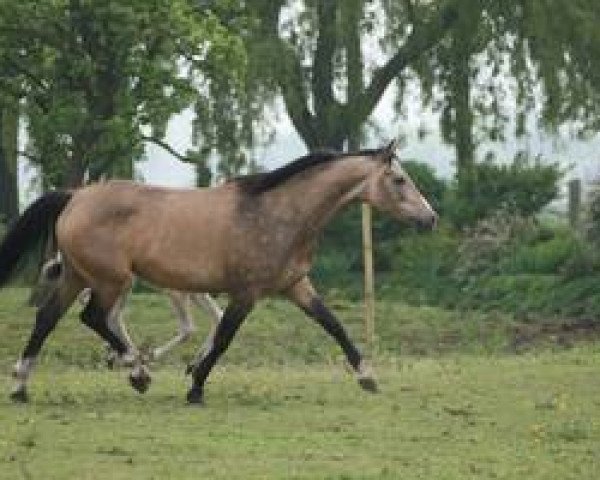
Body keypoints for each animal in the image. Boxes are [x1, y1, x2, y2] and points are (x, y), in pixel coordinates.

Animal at [0, 141, 436, 404]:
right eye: (399, 180)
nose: (430, 218)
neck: (279, 213)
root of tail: (75, 196)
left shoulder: (296, 286)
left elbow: (334, 325)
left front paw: (367, 376)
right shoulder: (245, 292)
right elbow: (224, 338)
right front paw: (195, 386)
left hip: (78, 276)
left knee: (47, 319)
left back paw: (21, 385)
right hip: (111, 281)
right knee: (93, 317)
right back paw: (138, 371)